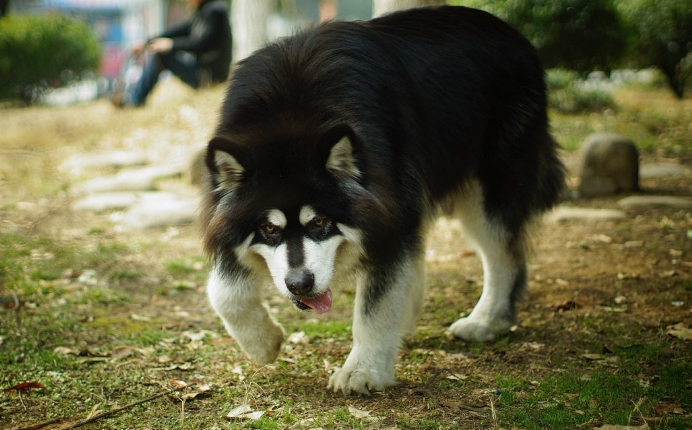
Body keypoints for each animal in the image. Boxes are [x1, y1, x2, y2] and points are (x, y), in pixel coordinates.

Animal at [199, 5, 564, 396]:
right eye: (269, 229)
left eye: (319, 222)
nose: (300, 284)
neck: (292, 116)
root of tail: (513, 33)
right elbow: (223, 292)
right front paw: (263, 343)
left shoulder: (387, 218)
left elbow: (375, 307)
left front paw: (363, 370)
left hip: (487, 191)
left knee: (503, 259)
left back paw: (486, 321)